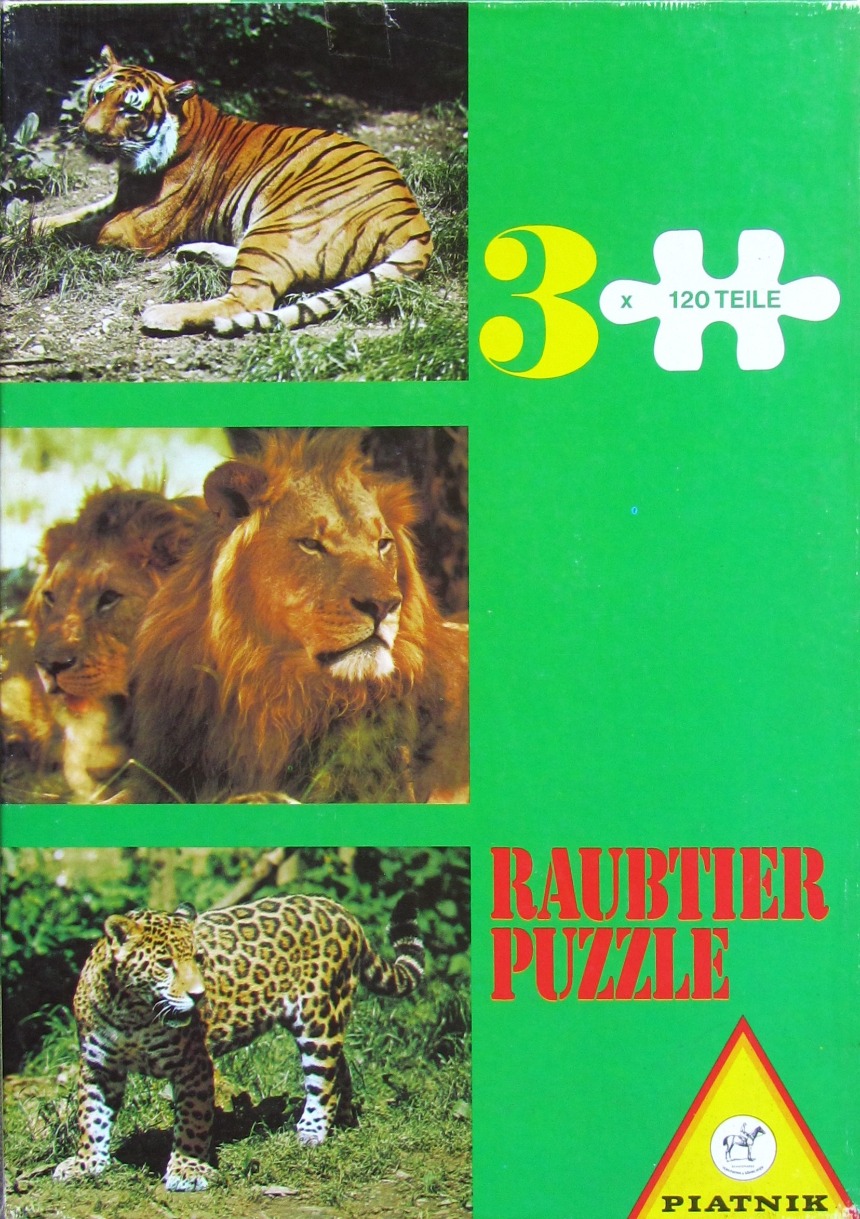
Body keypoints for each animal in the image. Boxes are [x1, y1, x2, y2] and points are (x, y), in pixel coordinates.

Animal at [31, 46, 433, 336]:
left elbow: (86, 229)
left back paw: (161, 314)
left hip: (279, 225)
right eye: (97, 96)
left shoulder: (139, 226)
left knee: (248, 300)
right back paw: (193, 254)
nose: (89, 133)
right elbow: (77, 212)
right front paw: (31, 224)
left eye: (130, 110)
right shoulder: (121, 198)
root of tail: (415, 221)